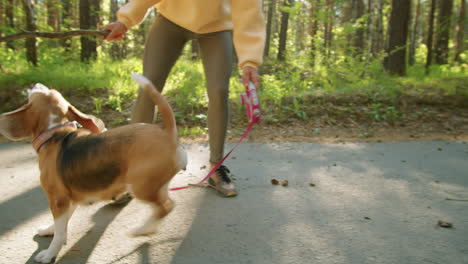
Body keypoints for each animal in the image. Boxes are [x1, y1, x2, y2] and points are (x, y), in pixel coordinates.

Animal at [0, 73, 186, 262]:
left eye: (42, 91)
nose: (37, 83)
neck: (55, 132)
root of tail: (167, 133)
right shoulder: (68, 199)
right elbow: (61, 225)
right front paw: (48, 230)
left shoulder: (58, 200)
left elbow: (60, 232)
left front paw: (49, 254)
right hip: (156, 186)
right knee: (166, 205)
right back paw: (147, 229)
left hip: (141, 187)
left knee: (166, 207)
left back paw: (141, 230)